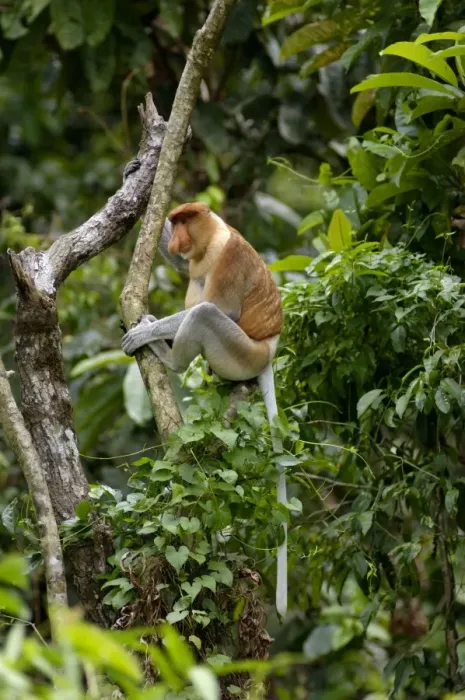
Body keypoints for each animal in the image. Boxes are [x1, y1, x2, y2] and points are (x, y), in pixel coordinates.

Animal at [121, 203, 288, 616]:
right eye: (175, 221)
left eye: (187, 221)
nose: (178, 235)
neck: (212, 238)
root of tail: (269, 352)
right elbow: (182, 266)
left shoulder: (228, 259)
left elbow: (223, 309)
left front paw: (145, 332)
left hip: (241, 353)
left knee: (205, 314)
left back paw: (167, 354)